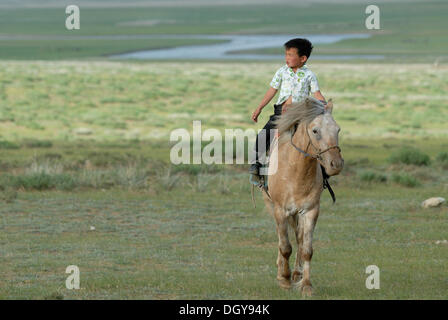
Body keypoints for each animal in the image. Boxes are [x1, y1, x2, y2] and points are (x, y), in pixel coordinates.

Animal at [262, 96, 344, 296]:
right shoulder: (280, 210)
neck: (297, 170)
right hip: (273, 206)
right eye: (315, 131)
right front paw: (284, 279)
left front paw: (306, 284)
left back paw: (297, 274)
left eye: (337, 129)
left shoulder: (311, 211)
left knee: (298, 238)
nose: (336, 164)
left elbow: (306, 249)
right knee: (281, 238)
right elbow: (285, 246)